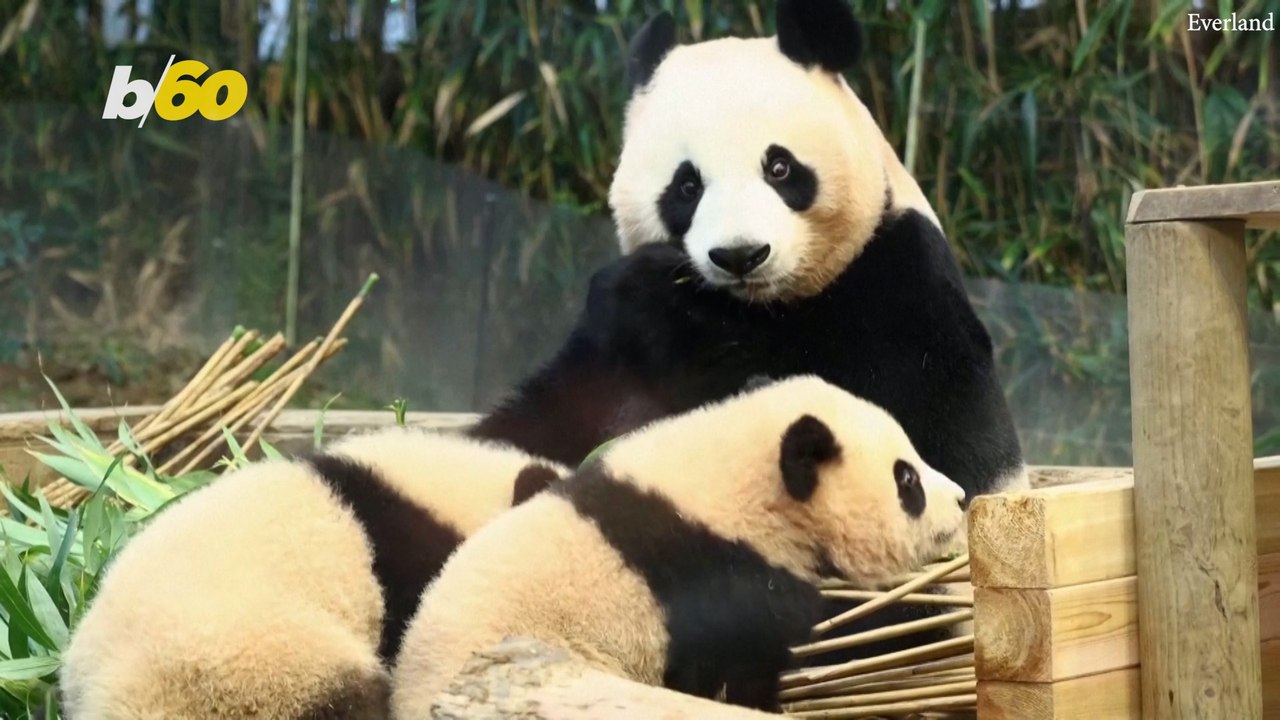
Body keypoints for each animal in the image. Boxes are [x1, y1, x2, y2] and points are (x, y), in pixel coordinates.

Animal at [469, 0, 1026, 506]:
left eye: (780, 168)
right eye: (687, 185)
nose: (740, 255)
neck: (763, 308)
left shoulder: (905, 287)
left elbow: (941, 447)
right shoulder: (610, 357)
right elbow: (548, 419)